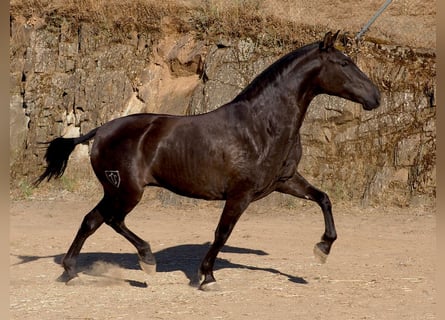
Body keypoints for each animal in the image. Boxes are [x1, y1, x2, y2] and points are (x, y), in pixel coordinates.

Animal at [36, 31, 380, 290]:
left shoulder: (284, 181)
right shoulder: (240, 194)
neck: (262, 125)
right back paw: (147, 260)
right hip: (127, 191)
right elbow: (222, 233)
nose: (375, 96)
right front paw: (207, 277)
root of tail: (100, 130)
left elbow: (323, 198)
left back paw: (70, 272)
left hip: (115, 191)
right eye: (344, 63)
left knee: (91, 220)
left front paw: (323, 249)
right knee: (111, 220)